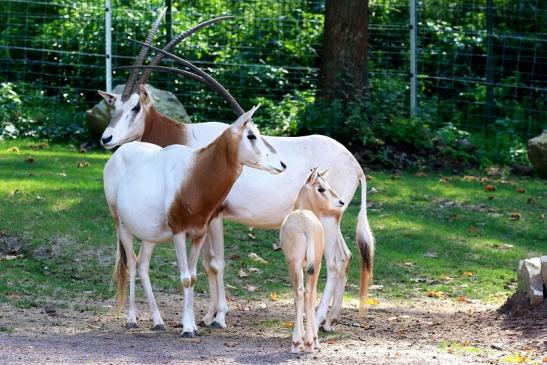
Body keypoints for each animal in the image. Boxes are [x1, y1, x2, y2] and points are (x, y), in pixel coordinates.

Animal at [280, 168, 344, 352]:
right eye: (321, 188)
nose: (341, 202)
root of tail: (306, 225)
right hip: (314, 264)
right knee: (308, 293)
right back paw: (309, 341)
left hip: (295, 264)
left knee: (300, 292)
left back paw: (299, 342)